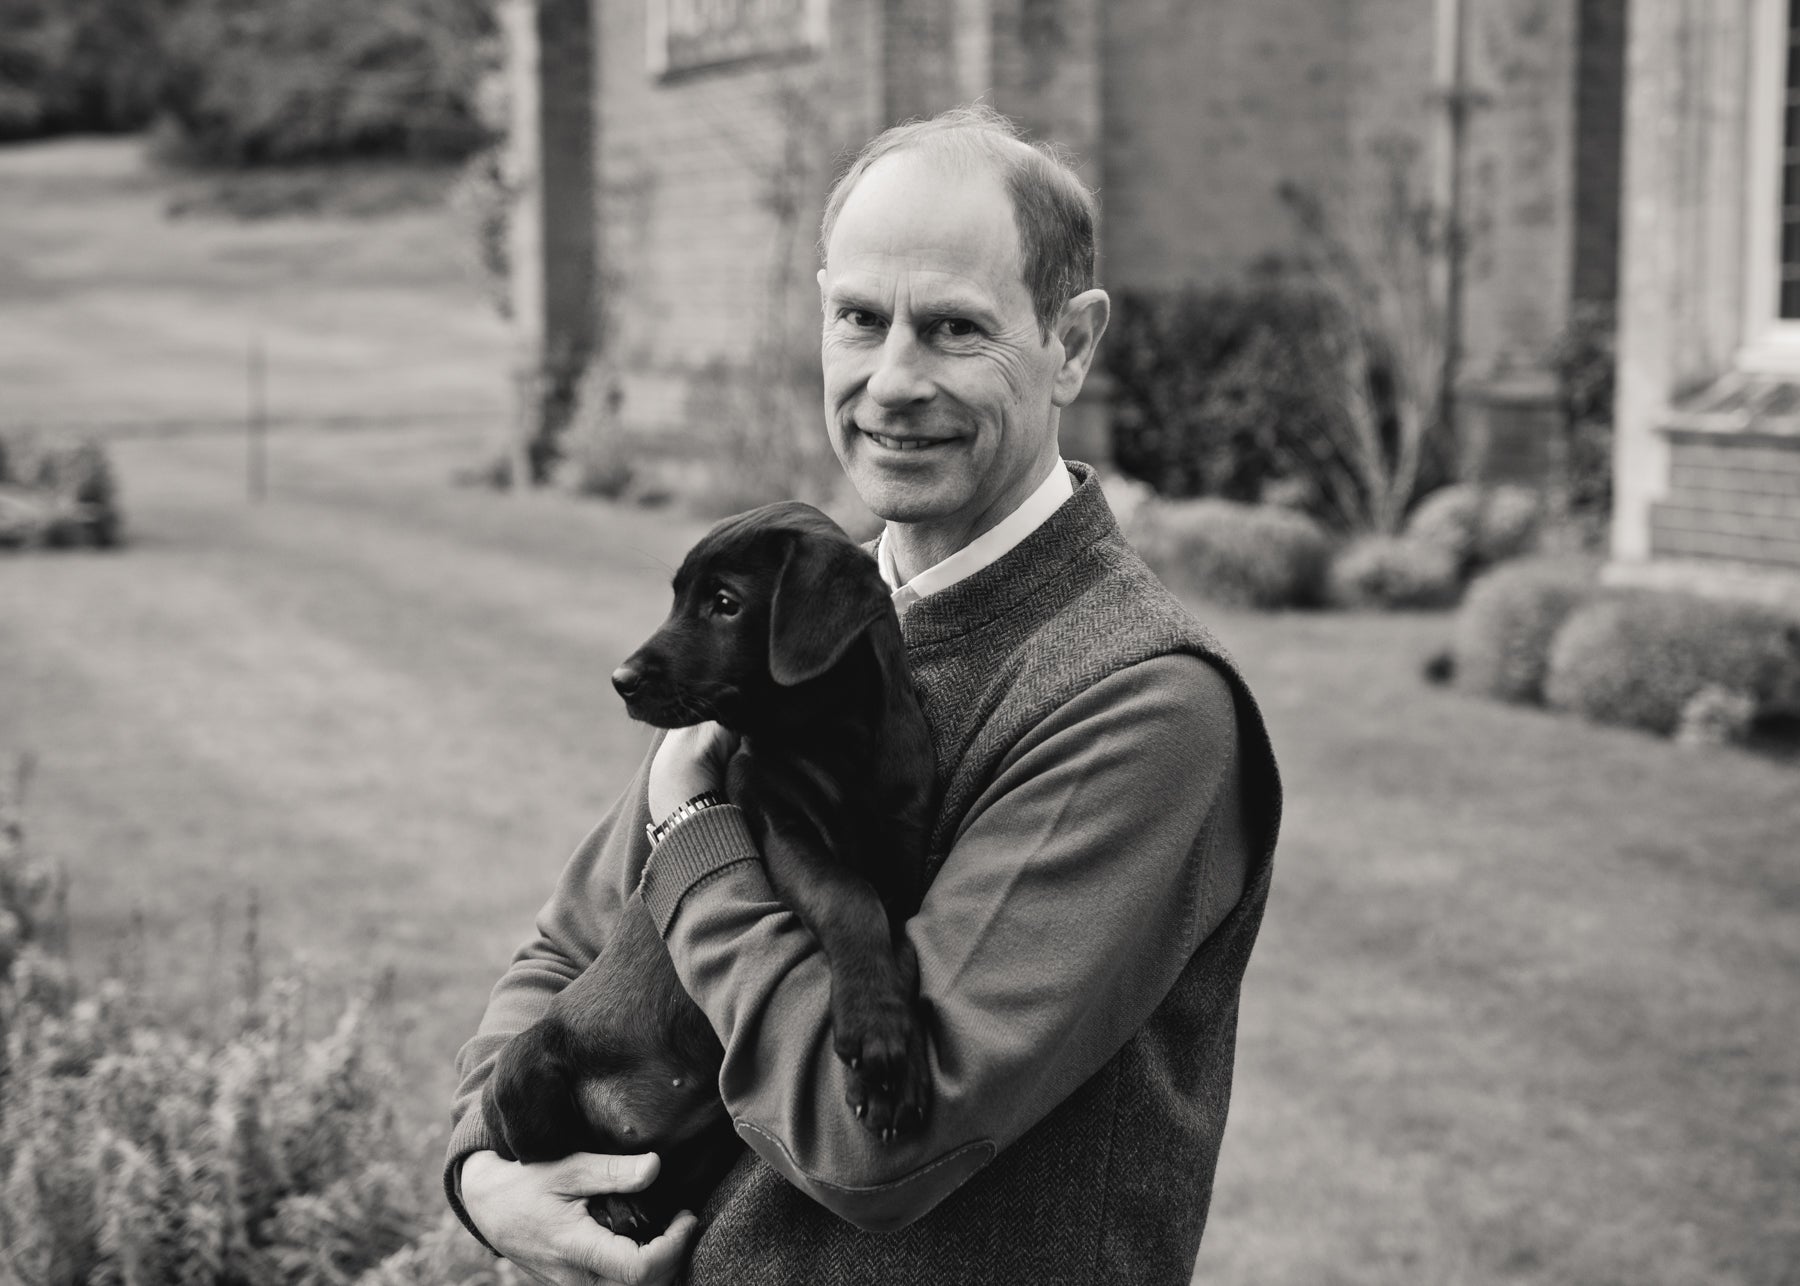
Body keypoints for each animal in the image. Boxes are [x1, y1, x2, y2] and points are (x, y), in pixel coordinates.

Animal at [478, 497, 936, 1231]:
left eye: (725, 604)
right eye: (678, 599)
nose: (619, 681)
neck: (832, 739)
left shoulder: (904, 849)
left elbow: (895, 937)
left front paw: (892, 1055)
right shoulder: (777, 826)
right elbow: (847, 899)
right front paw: (880, 1044)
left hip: (712, 1135)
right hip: (524, 1065)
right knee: (560, 1160)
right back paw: (613, 1203)